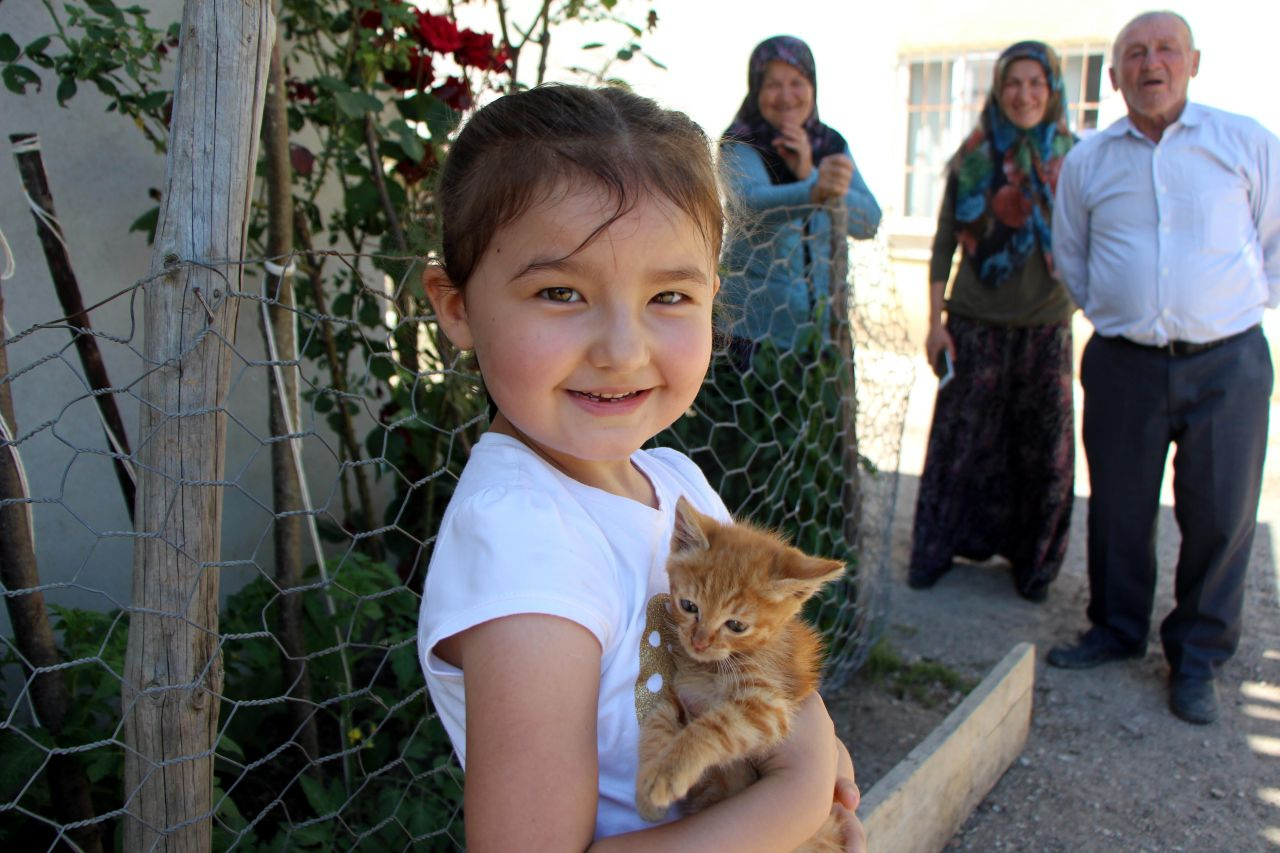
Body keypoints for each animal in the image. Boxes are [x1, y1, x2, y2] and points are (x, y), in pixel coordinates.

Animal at [637, 494, 849, 845]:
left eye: (736, 626)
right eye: (689, 606)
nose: (699, 642)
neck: (710, 667)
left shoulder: (769, 705)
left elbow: (710, 728)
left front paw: (667, 773)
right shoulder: (676, 690)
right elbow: (657, 720)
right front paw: (649, 783)